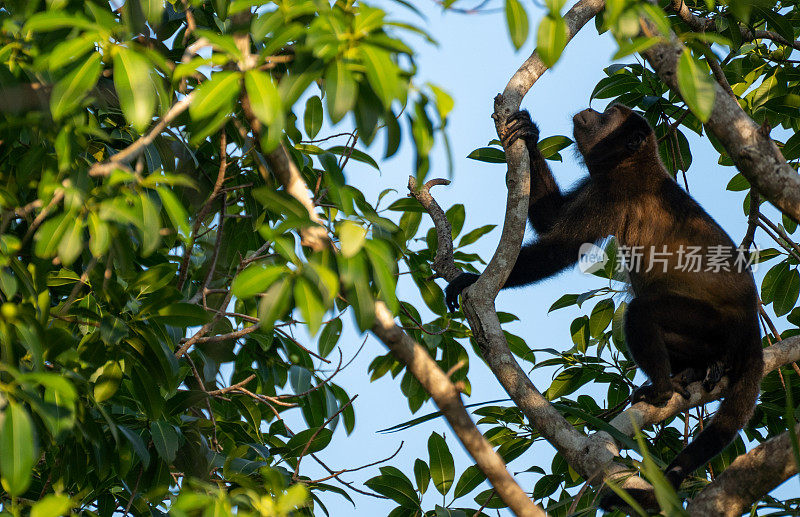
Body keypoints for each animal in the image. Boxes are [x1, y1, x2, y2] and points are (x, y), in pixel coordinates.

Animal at [446, 104, 764, 508]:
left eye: (610, 113)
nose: (589, 110)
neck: (632, 162)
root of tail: (751, 325)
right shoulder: (596, 182)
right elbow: (551, 217)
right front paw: (529, 133)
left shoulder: (613, 193)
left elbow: (560, 248)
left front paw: (469, 280)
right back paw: (699, 370)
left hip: (715, 323)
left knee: (641, 311)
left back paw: (662, 389)